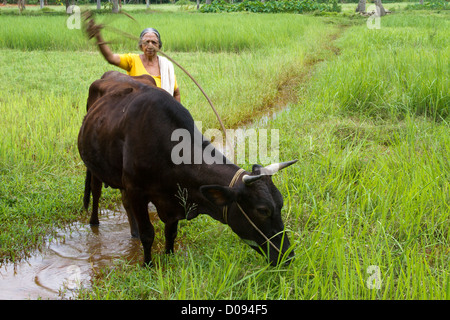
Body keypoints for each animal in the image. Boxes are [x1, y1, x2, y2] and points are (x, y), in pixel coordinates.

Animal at [77, 71, 296, 266]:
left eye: (281, 204)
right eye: (262, 210)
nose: (288, 256)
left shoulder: (173, 199)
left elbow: (170, 232)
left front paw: (169, 257)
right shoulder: (137, 191)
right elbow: (148, 234)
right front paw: (147, 265)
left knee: (124, 203)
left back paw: (133, 233)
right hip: (94, 167)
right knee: (96, 192)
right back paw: (94, 223)